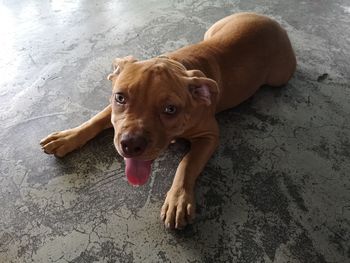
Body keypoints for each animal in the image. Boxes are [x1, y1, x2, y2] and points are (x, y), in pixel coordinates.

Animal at [40, 13, 296, 230]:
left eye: (170, 109)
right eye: (120, 97)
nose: (131, 145)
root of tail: (271, 21)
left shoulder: (209, 136)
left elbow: (187, 164)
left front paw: (178, 200)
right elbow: (95, 120)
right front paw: (67, 137)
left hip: (279, 77)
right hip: (213, 30)